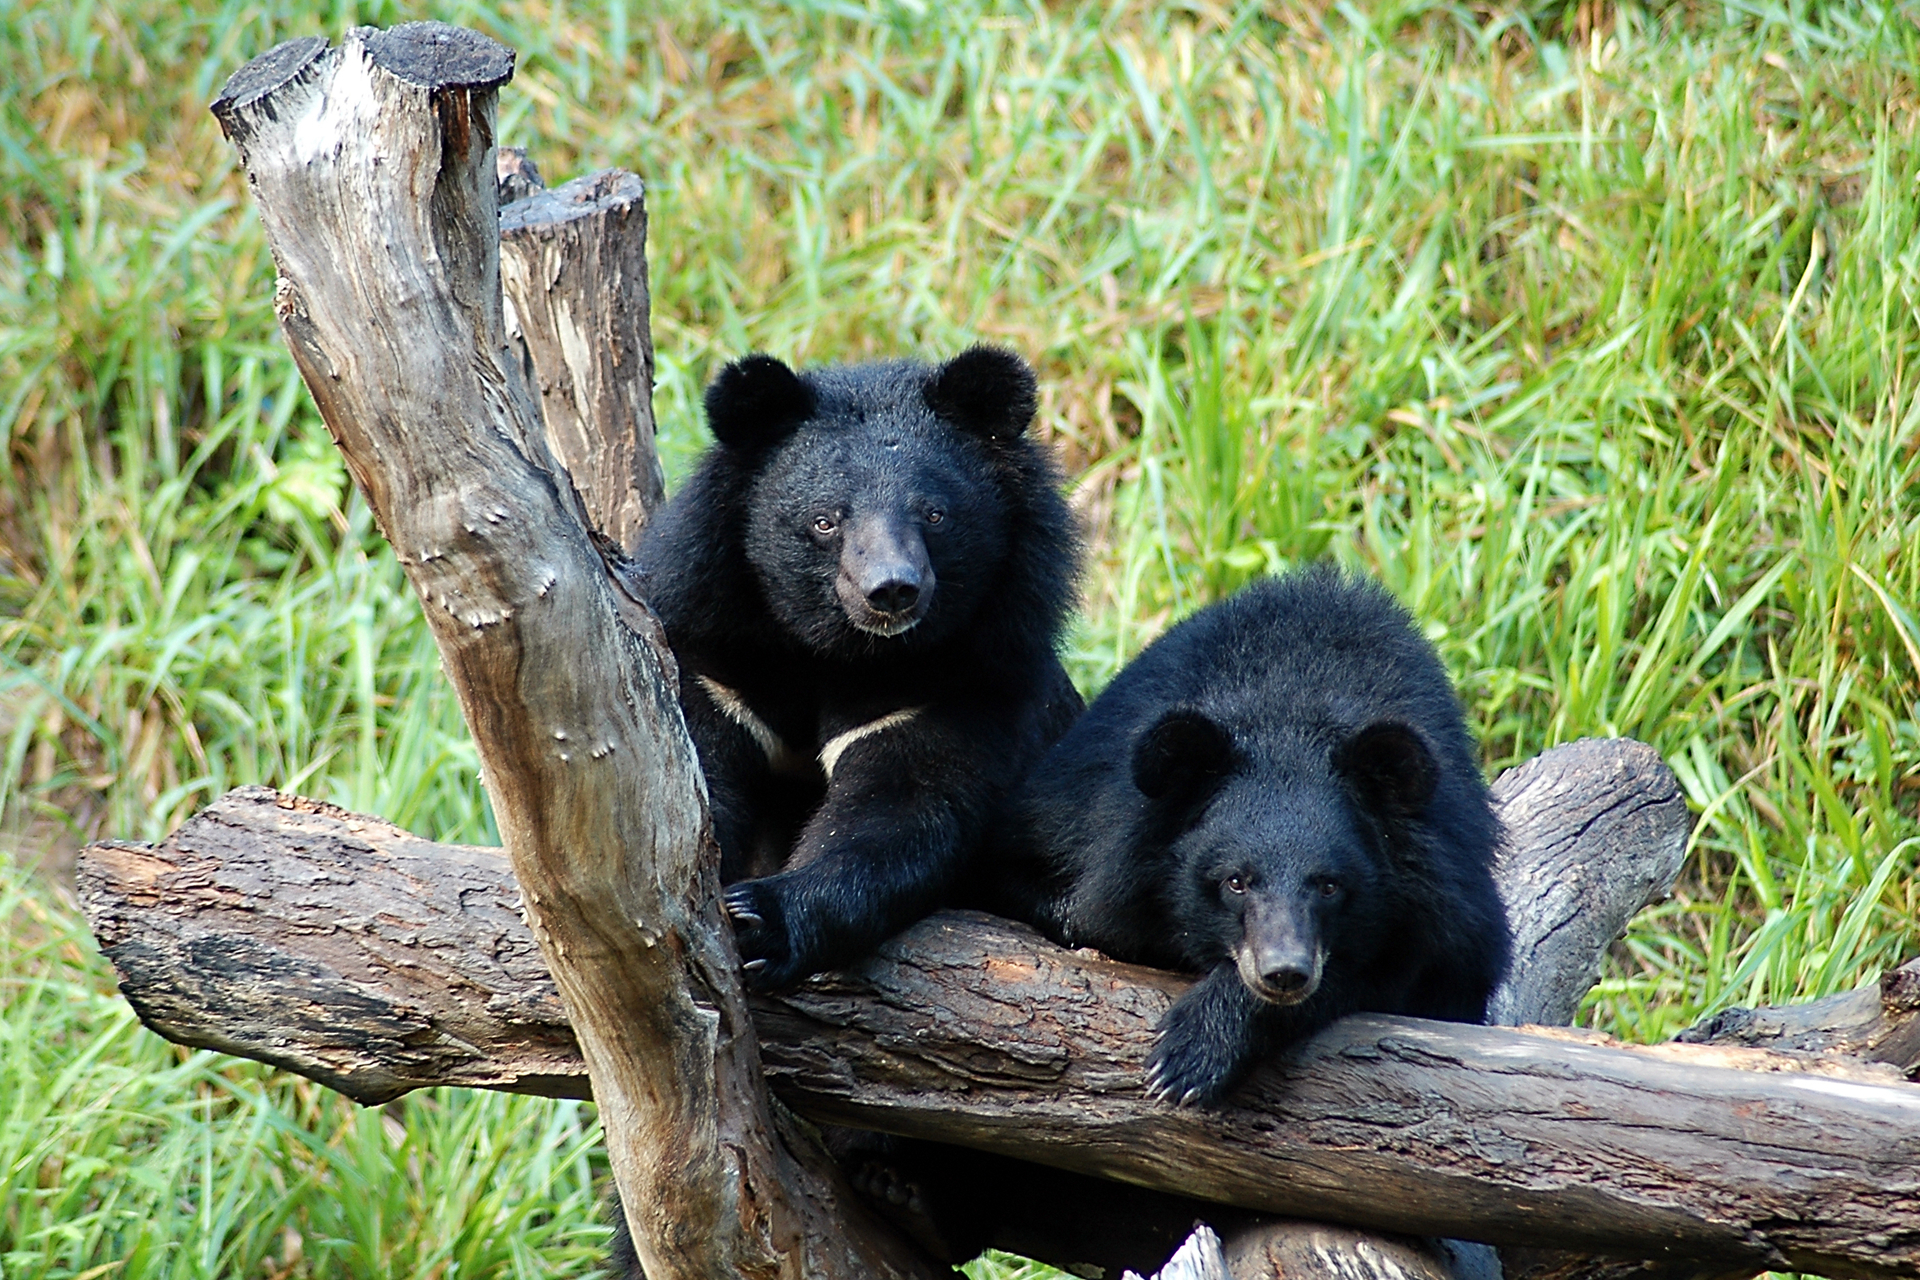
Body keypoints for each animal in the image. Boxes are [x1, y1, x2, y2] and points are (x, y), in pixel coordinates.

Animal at [633, 347, 1075, 990]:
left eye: (934, 514)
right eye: (825, 520)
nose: (891, 590)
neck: (842, 652)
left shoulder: (962, 683)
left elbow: (899, 814)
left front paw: (761, 919)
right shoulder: (716, 663)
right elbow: (692, 789)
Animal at [990, 564, 1512, 1105]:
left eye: (1330, 886)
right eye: (1235, 882)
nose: (1284, 973)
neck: (1289, 712)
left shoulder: (1449, 889)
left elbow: (1399, 967)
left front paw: (1189, 1053)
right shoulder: (1080, 819)